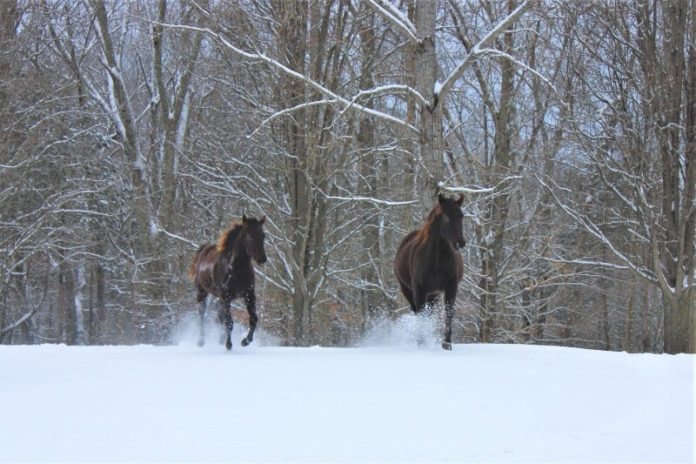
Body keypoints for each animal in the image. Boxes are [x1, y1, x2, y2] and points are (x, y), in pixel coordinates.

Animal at [189, 216, 268, 350]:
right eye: (250, 235)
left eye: (263, 235)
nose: (262, 258)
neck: (236, 269)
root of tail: (203, 250)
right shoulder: (226, 296)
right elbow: (229, 322)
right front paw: (229, 344)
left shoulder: (249, 295)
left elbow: (253, 319)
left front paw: (245, 341)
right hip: (202, 293)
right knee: (202, 314)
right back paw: (201, 341)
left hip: (218, 298)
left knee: (219, 313)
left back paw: (221, 339)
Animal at [394, 194, 464, 350]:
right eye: (445, 217)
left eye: (462, 215)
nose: (460, 243)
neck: (436, 258)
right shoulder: (418, 289)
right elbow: (421, 314)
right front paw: (421, 343)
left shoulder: (451, 287)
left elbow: (449, 312)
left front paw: (447, 343)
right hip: (408, 290)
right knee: (417, 312)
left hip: (433, 294)